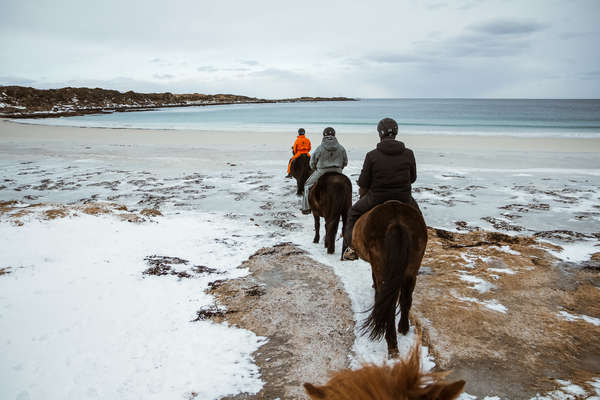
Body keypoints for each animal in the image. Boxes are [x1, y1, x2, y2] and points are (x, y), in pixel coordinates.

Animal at [346, 202, 426, 358]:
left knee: (389, 305)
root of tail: (397, 222)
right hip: (411, 270)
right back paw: (403, 328)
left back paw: (392, 346)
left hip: (382, 269)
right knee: (405, 299)